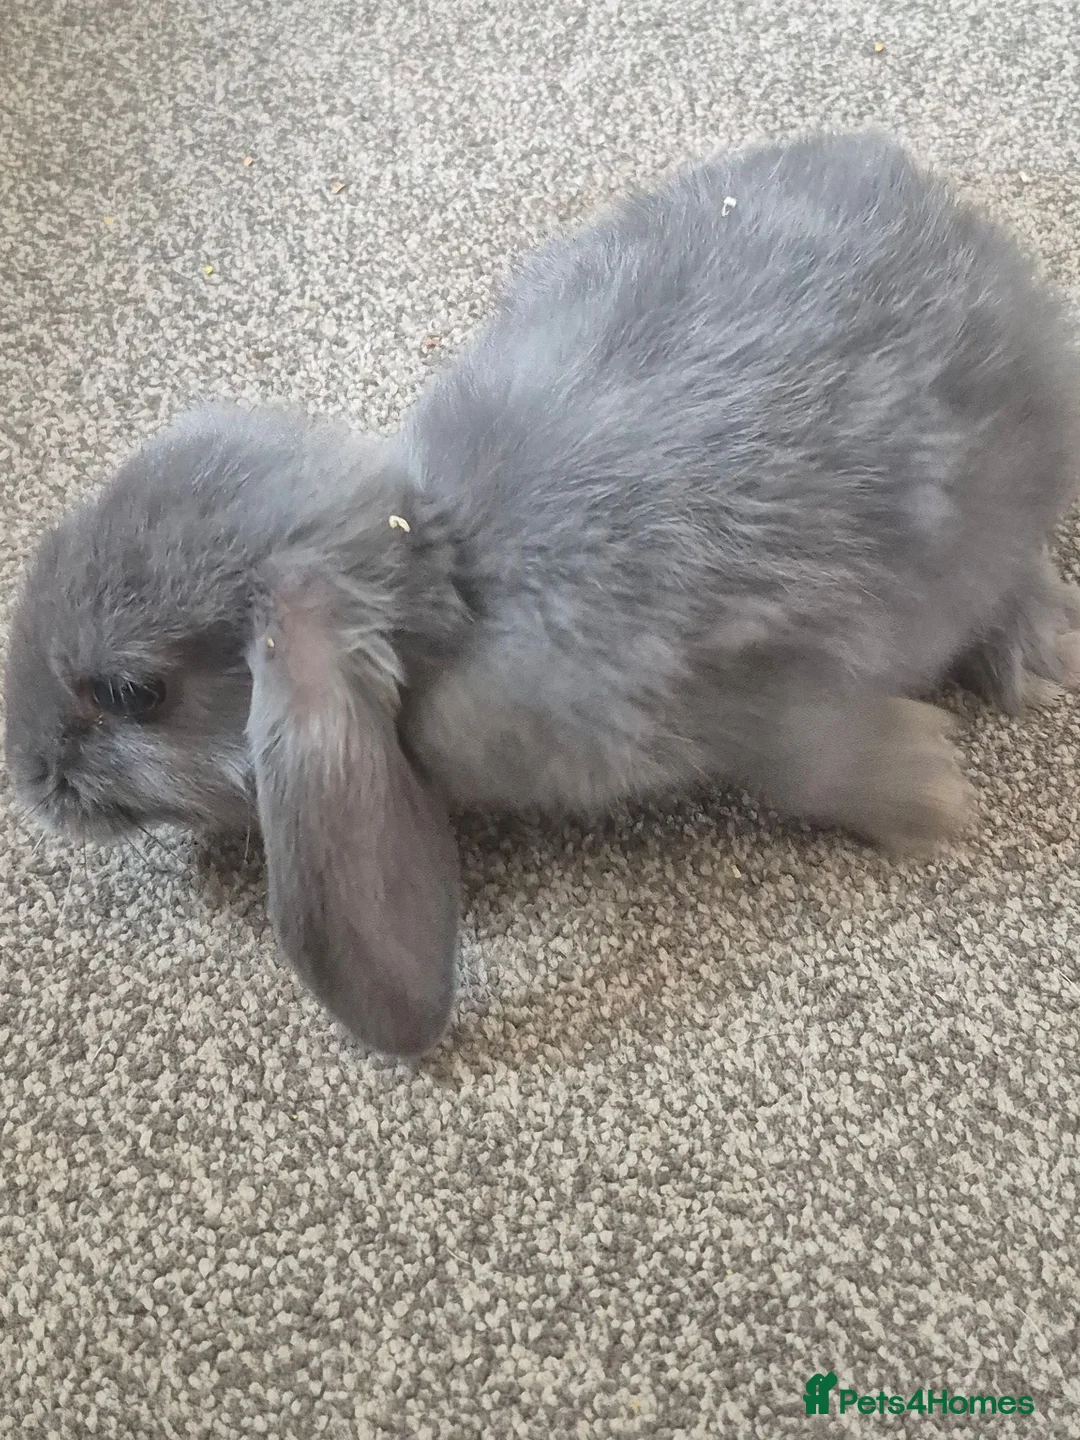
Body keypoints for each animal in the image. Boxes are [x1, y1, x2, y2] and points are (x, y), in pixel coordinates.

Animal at [5, 130, 1080, 1058]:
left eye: (133, 693)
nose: (30, 776)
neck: (447, 584)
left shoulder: (742, 683)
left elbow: (809, 760)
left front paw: (931, 795)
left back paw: (1037, 654)